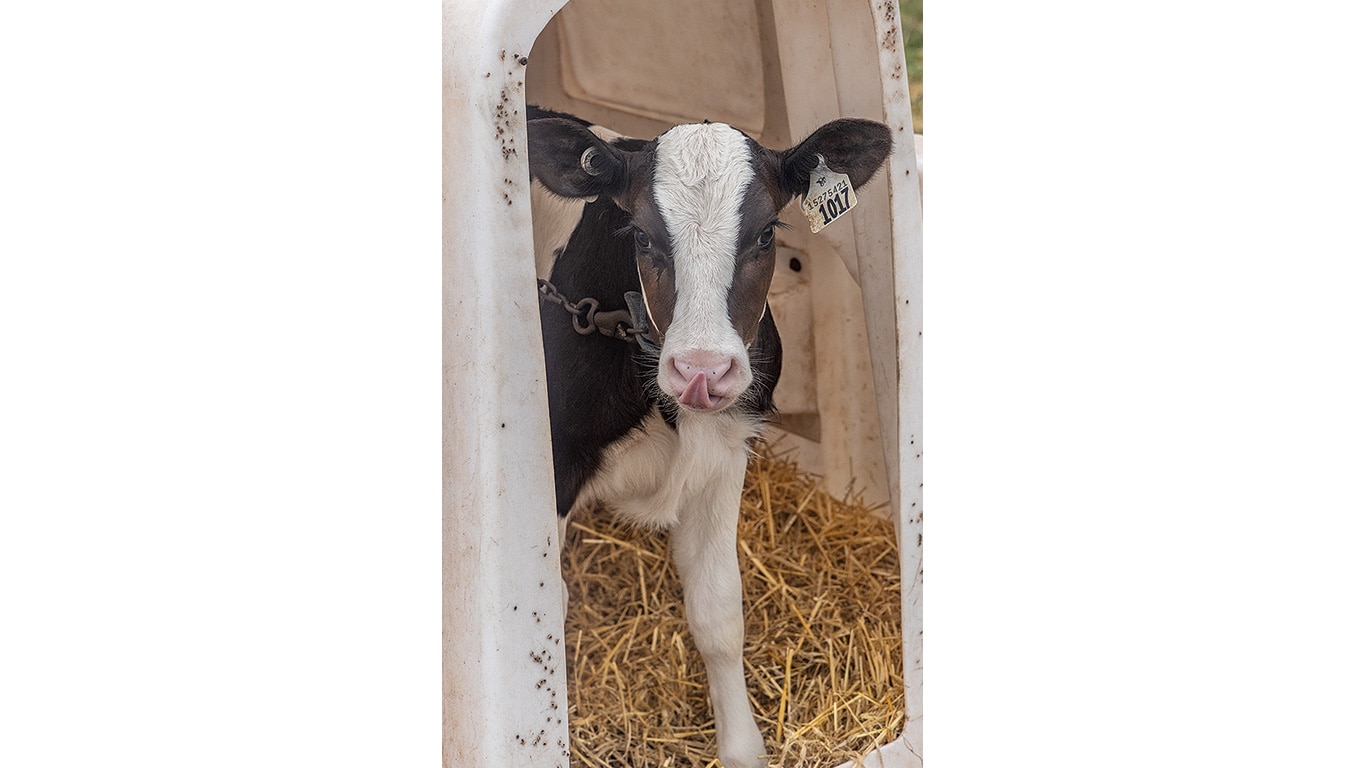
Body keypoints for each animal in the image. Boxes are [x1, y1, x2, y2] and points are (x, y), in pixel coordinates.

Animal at [527, 104, 891, 768]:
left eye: (768, 233)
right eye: (641, 235)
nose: (701, 369)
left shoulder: (722, 457)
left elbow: (719, 613)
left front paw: (743, 748)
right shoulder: (557, 463)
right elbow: (550, 609)